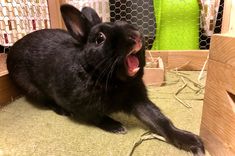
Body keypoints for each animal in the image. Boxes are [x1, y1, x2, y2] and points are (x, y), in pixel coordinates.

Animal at [6, 4, 205, 155]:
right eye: (100, 38)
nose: (136, 36)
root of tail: (13, 50)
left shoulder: (138, 100)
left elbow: (160, 120)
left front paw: (192, 141)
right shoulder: (81, 106)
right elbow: (95, 117)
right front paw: (116, 126)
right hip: (32, 88)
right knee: (46, 101)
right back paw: (62, 111)